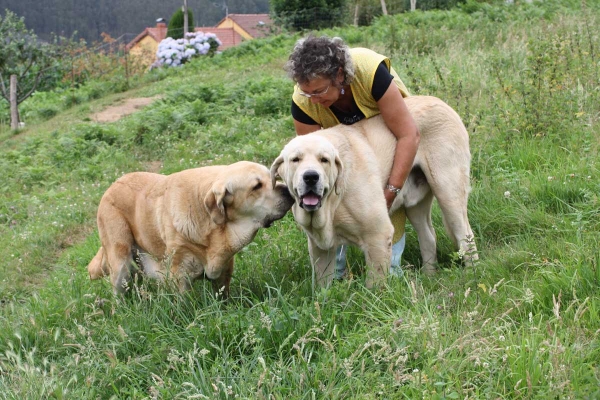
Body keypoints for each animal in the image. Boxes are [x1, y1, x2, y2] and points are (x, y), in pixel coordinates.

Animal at [88, 161, 294, 296]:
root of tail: (112, 186)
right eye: (256, 186)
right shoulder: (180, 276)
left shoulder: (224, 269)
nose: (288, 190)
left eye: (272, 176)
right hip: (120, 262)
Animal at [272, 95, 478, 286]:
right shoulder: (320, 247)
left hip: (448, 193)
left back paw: (471, 277)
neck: (332, 204)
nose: (311, 177)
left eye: (324, 160)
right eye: (295, 159)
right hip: (416, 204)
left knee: (466, 236)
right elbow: (323, 286)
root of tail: (441, 102)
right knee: (428, 236)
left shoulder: (378, 235)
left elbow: (375, 285)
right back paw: (430, 276)